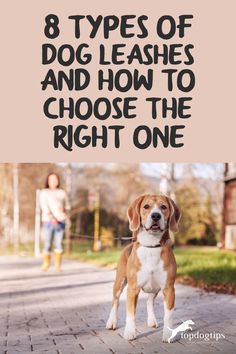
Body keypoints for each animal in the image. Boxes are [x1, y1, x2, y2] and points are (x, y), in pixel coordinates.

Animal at [105, 195, 181, 342]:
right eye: (146, 206)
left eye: (163, 207)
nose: (156, 215)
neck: (152, 246)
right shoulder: (133, 289)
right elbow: (130, 314)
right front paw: (130, 332)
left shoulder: (169, 288)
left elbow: (168, 315)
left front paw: (168, 334)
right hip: (119, 282)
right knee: (115, 302)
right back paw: (112, 322)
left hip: (155, 288)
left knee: (149, 302)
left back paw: (151, 320)